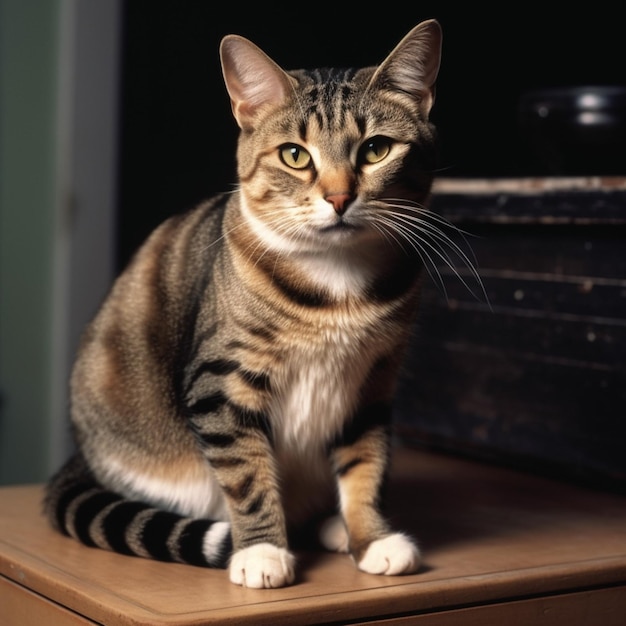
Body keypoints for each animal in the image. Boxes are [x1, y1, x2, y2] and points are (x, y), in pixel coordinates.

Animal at [42, 18, 444, 584]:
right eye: (295, 155)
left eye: (376, 149)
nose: (339, 198)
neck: (338, 282)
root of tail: (80, 459)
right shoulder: (222, 382)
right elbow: (248, 473)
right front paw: (262, 551)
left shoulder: (372, 383)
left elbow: (367, 463)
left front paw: (371, 538)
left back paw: (335, 525)